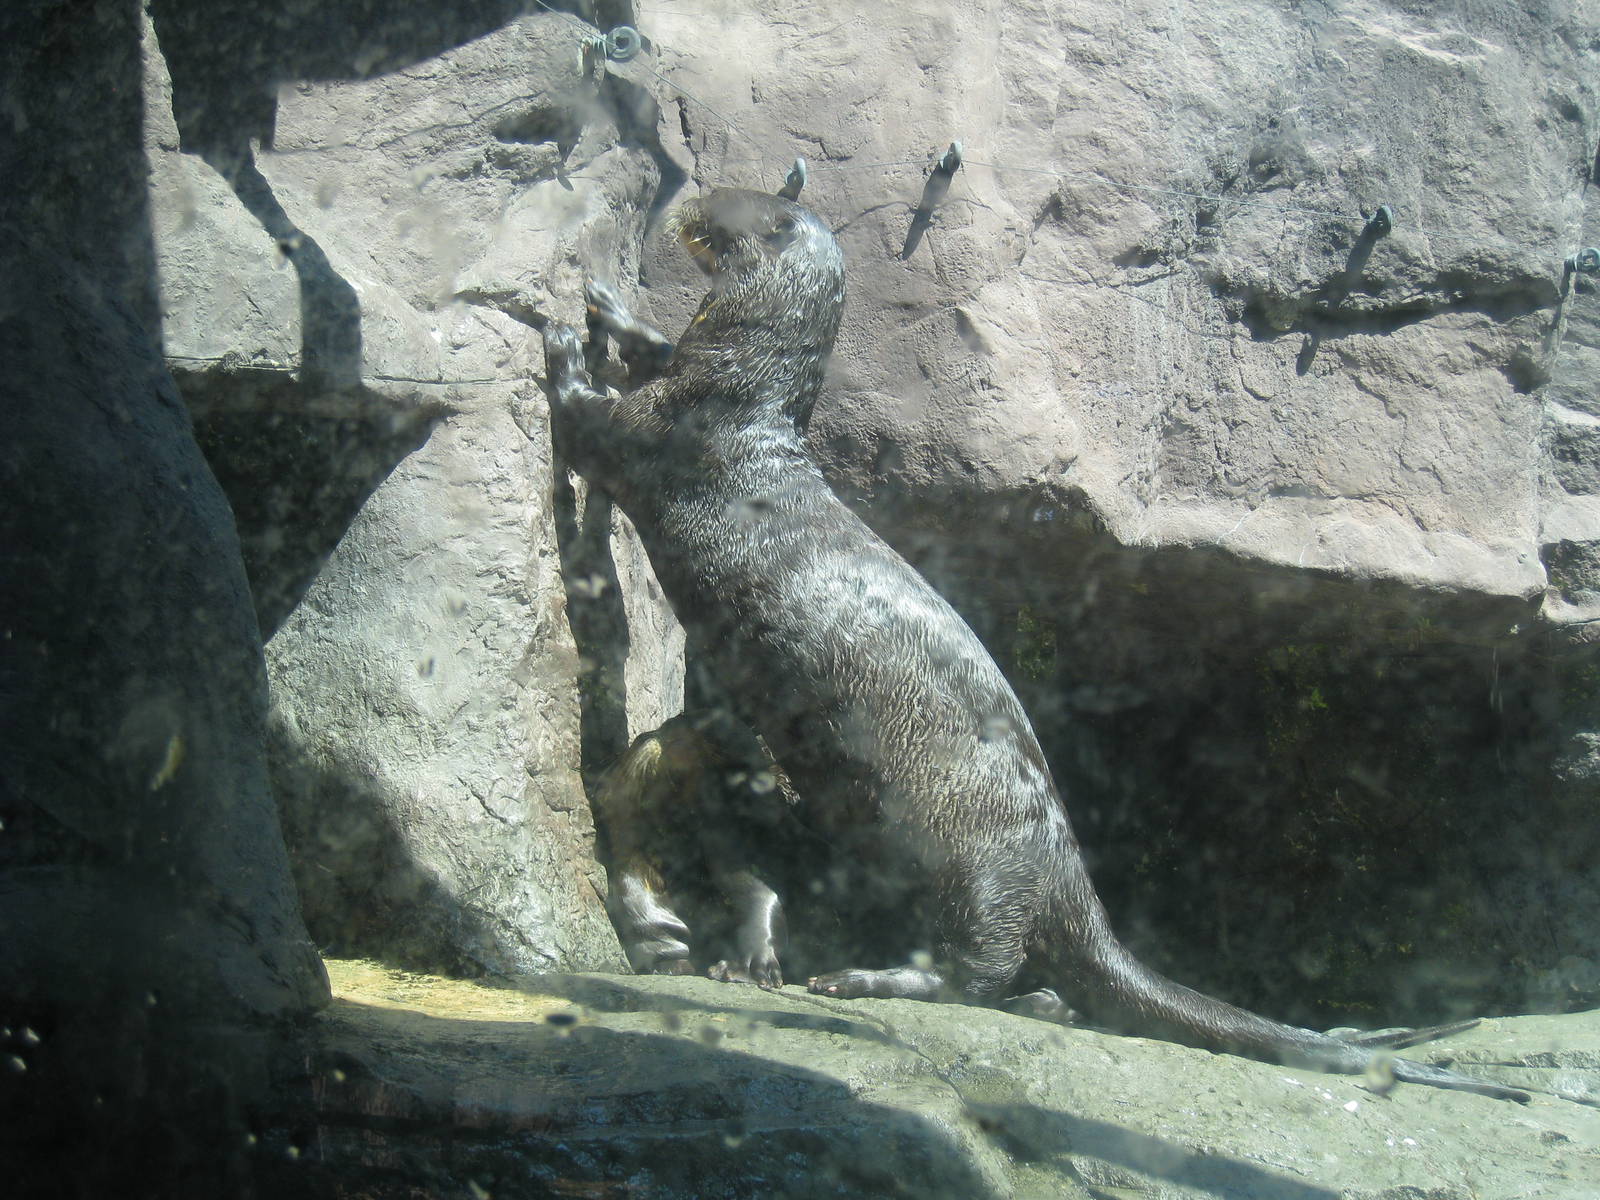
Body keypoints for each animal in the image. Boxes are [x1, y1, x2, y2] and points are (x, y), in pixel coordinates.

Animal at [540, 188, 1526, 1102]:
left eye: (733, 200)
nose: (691, 201)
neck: (738, 398)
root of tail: (1066, 877)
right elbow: (658, 349)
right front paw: (614, 311)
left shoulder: (662, 432)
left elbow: (591, 424)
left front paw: (558, 343)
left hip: (966, 861)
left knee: (978, 970)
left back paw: (864, 978)